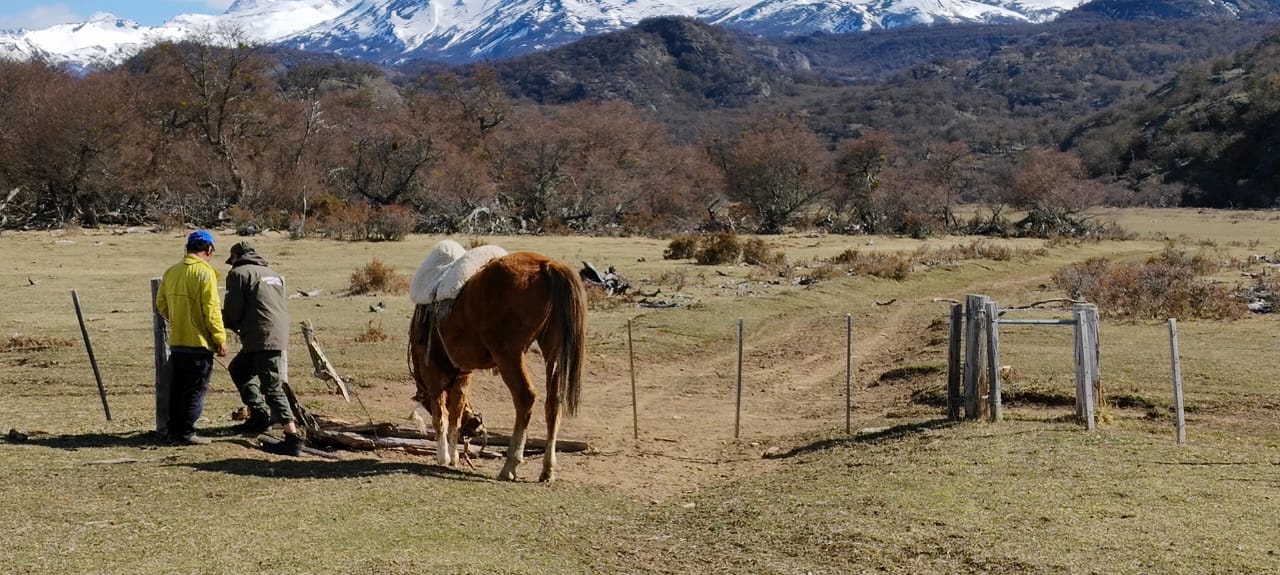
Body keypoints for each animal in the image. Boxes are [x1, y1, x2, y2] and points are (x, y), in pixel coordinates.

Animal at [407, 251, 586, 478]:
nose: (476, 427)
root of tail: (547, 265)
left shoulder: (433, 372)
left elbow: (441, 416)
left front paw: (443, 457)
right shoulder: (463, 374)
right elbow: (455, 413)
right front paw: (454, 456)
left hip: (509, 355)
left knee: (525, 397)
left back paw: (510, 465)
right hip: (552, 349)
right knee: (553, 402)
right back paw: (547, 469)